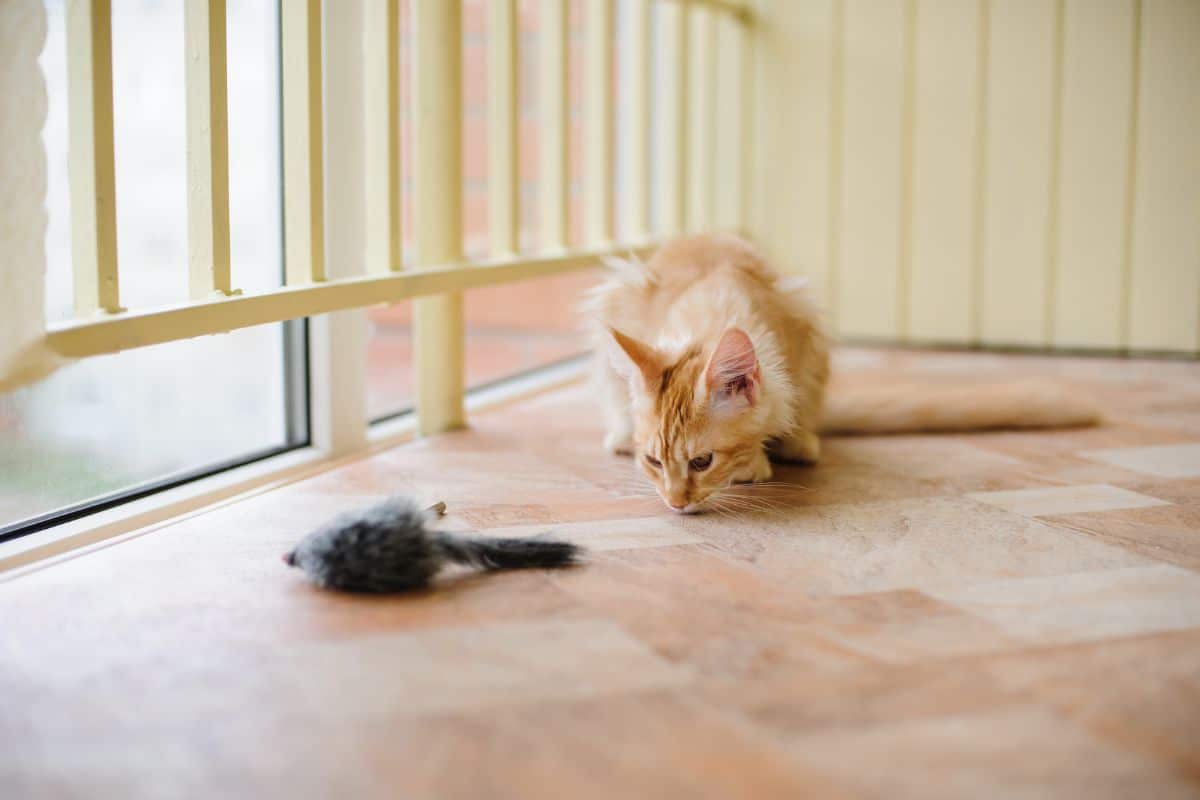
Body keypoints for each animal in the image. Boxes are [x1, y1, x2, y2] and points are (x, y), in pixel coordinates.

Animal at [585, 235, 1099, 515]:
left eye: (701, 462)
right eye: (654, 463)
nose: (675, 503)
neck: (711, 315)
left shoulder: (795, 335)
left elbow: (773, 417)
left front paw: (755, 461)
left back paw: (799, 442)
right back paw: (619, 433)